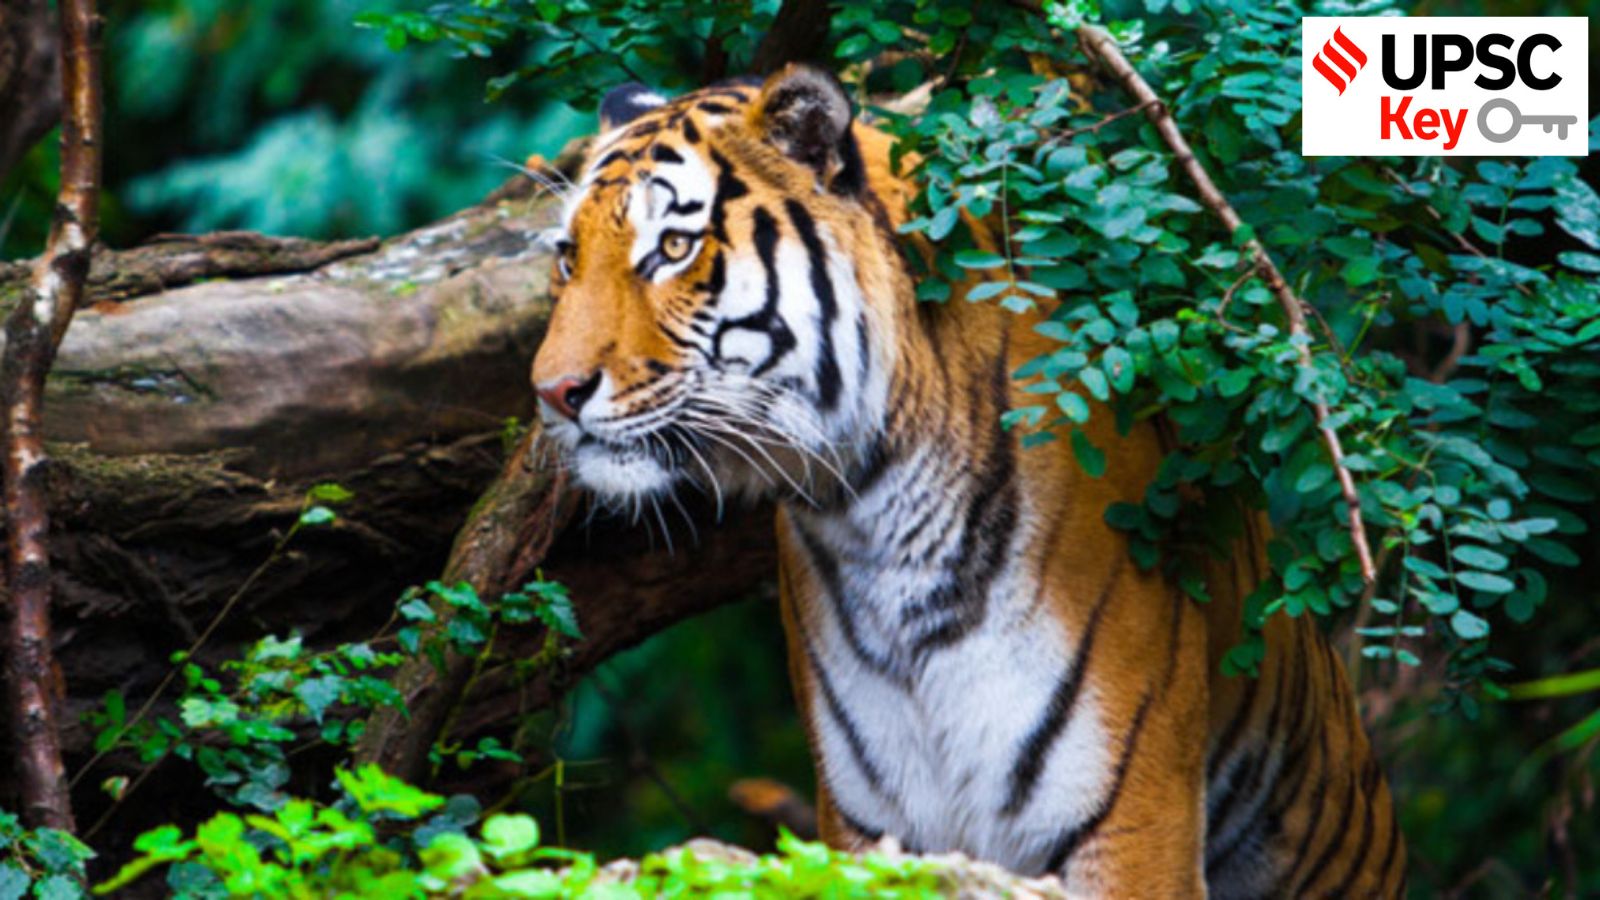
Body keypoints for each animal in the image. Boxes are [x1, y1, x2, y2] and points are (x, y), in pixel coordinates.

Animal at [529, 65, 1406, 898]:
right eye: (569, 257)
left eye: (674, 249)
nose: (552, 392)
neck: (873, 515)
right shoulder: (867, 824)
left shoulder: (1130, 820)